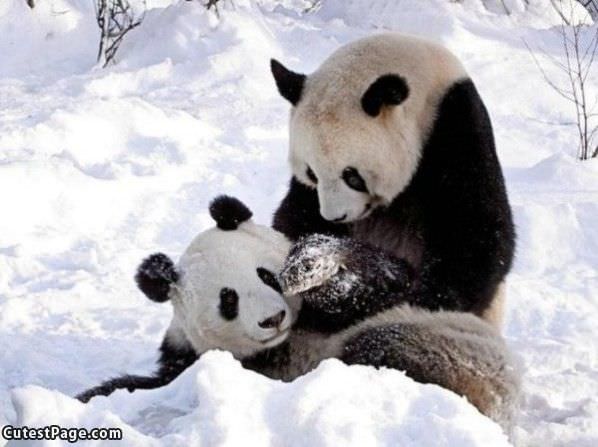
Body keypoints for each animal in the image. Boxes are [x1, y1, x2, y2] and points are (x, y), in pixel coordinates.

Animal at [76, 198, 520, 432]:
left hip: (454, 347)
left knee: (379, 344)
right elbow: (151, 384)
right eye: (228, 300)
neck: (287, 340)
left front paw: (315, 265)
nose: (272, 319)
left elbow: (394, 282)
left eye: (266, 275)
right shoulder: (191, 355)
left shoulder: (391, 302)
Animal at [270, 33, 516, 328]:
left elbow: (478, 237)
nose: (334, 217)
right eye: (312, 174)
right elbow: (291, 219)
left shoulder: (456, 130)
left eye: (352, 176)